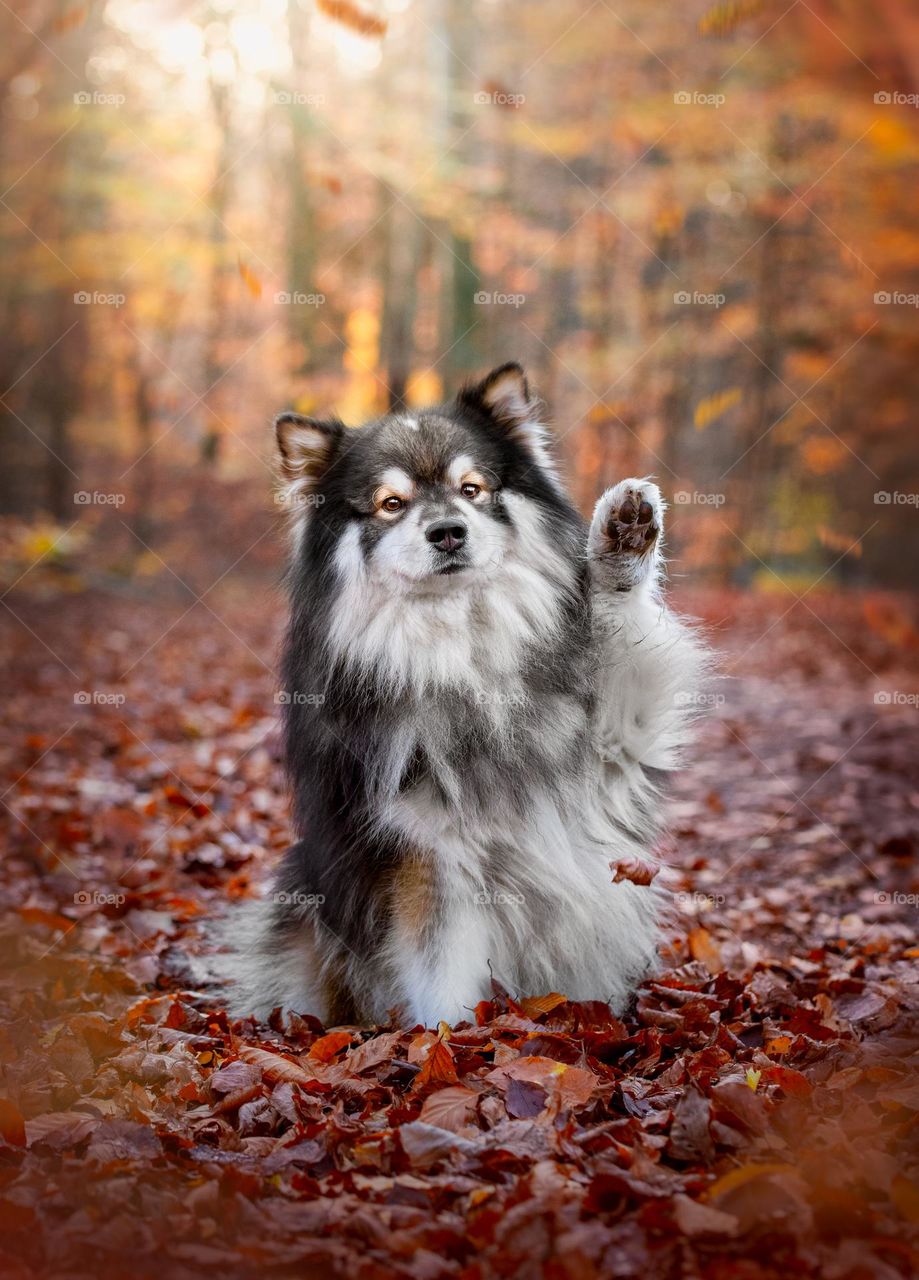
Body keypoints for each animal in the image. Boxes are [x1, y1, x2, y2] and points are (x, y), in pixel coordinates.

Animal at [226, 363, 711, 1029]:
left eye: (473, 489)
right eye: (392, 504)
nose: (448, 532)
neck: (464, 648)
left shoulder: (619, 733)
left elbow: (622, 631)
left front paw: (622, 541)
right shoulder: (428, 863)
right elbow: (442, 975)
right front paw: (448, 1041)